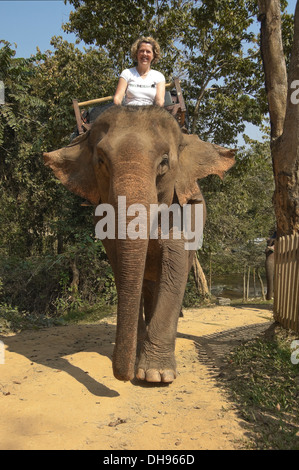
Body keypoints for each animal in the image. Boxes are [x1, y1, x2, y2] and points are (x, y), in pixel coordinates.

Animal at [44, 107, 237, 386]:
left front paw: (156, 375)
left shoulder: (184, 212)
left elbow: (176, 264)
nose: (122, 377)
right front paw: (138, 358)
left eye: (164, 161)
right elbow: (120, 266)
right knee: (148, 284)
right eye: (101, 160)